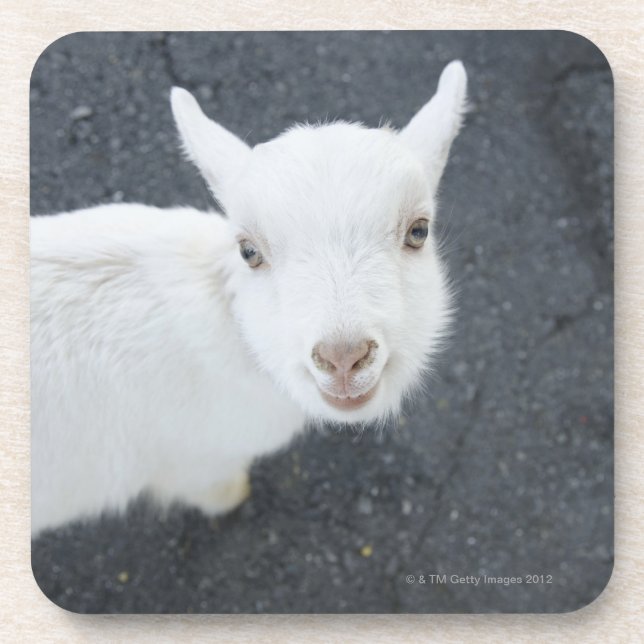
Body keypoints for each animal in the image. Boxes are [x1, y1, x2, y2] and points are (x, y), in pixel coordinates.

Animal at [30, 61, 467, 535]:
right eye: (248, 251)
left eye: (419, 231)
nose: (343, 357)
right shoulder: (198, 463)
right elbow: (219, 489)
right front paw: (235, 496)